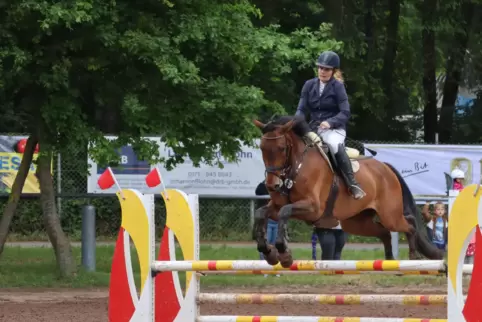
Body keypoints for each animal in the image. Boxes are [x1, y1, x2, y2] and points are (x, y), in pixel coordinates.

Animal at [252, 115, 444, 266]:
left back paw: (413, 256)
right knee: (384, 232)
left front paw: (284, 253)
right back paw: (389, 261)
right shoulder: (278, 207)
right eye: (262, 148)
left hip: (389, 215)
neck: (297, 166)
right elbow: (262, 213)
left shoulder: (313, 208)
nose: (272, 185)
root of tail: (386, 167)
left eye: (282, 148)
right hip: (356, 222)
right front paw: (269, 252)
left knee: (409, 224)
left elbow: (285, 211)